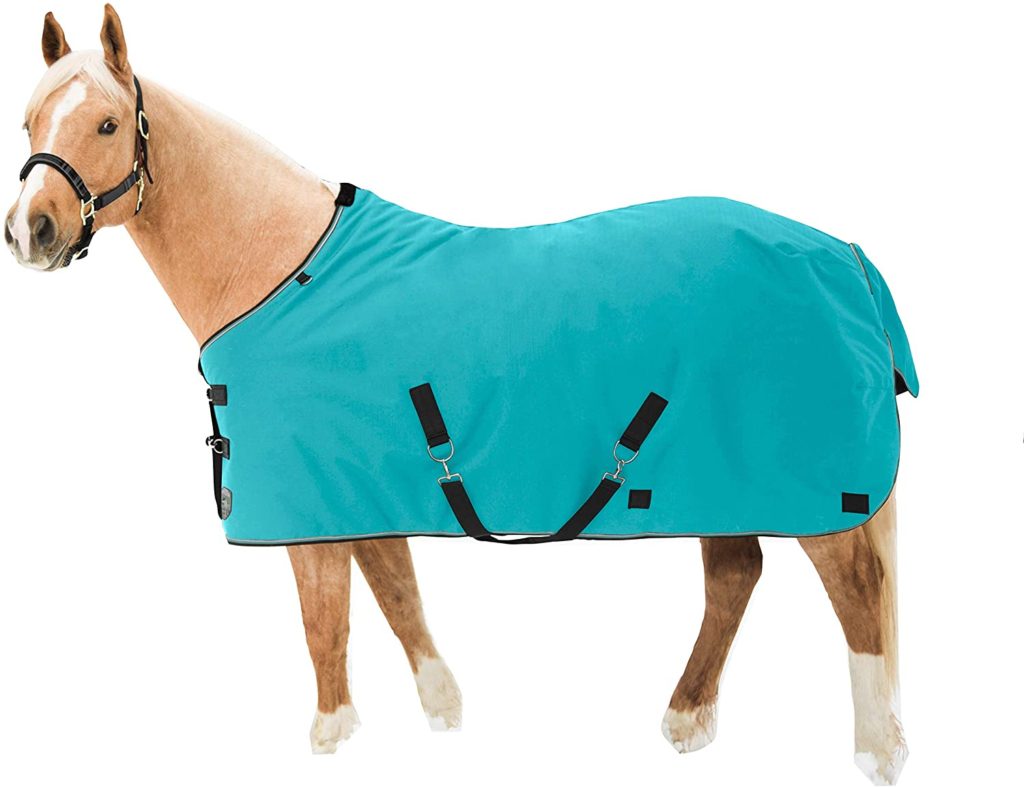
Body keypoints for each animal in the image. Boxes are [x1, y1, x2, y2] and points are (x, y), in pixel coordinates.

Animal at [4, 6, 909, 784]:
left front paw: (332, 740)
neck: (280, 268)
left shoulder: (310, 500)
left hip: (810, 485)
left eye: (108, 124)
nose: (30, 231)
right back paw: (687, 720)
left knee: (858, 591)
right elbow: (395, 589)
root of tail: (846, 255)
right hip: (715, 476)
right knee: (735, 574)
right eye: (28, 122)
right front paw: (443, 713)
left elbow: (325, 619)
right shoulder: (361, 483)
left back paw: (875, 752)